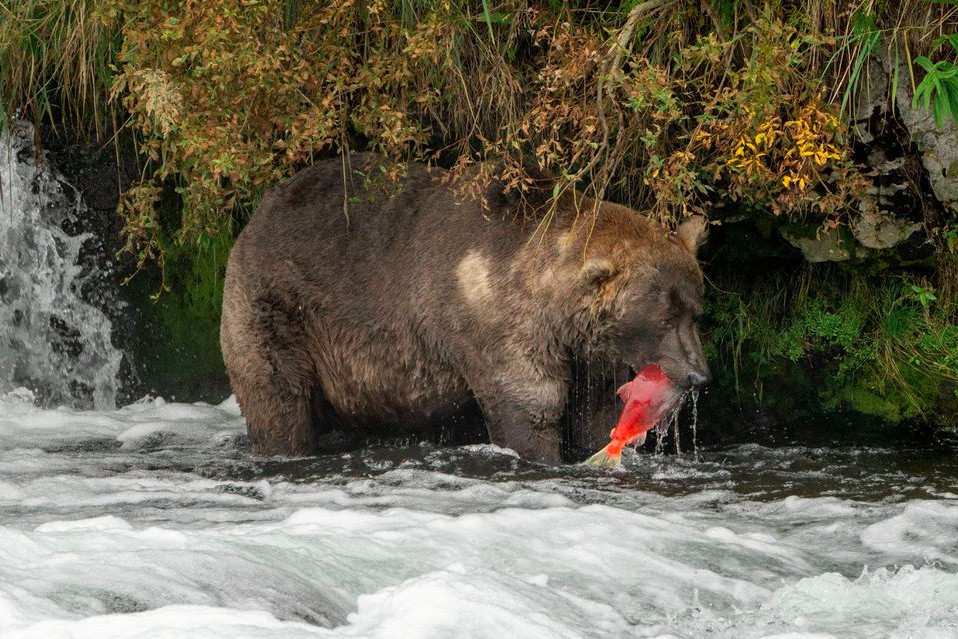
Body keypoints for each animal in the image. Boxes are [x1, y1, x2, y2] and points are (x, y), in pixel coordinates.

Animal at [221, 155, 708, 464]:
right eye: (665, 315)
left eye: (694, 309)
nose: (698, 374)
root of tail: (258, 212)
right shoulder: (497, 325)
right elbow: (530, 405)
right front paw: (543, 454)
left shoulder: (588, 349)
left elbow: (596, 409)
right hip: (278, 307)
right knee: (278, 395)